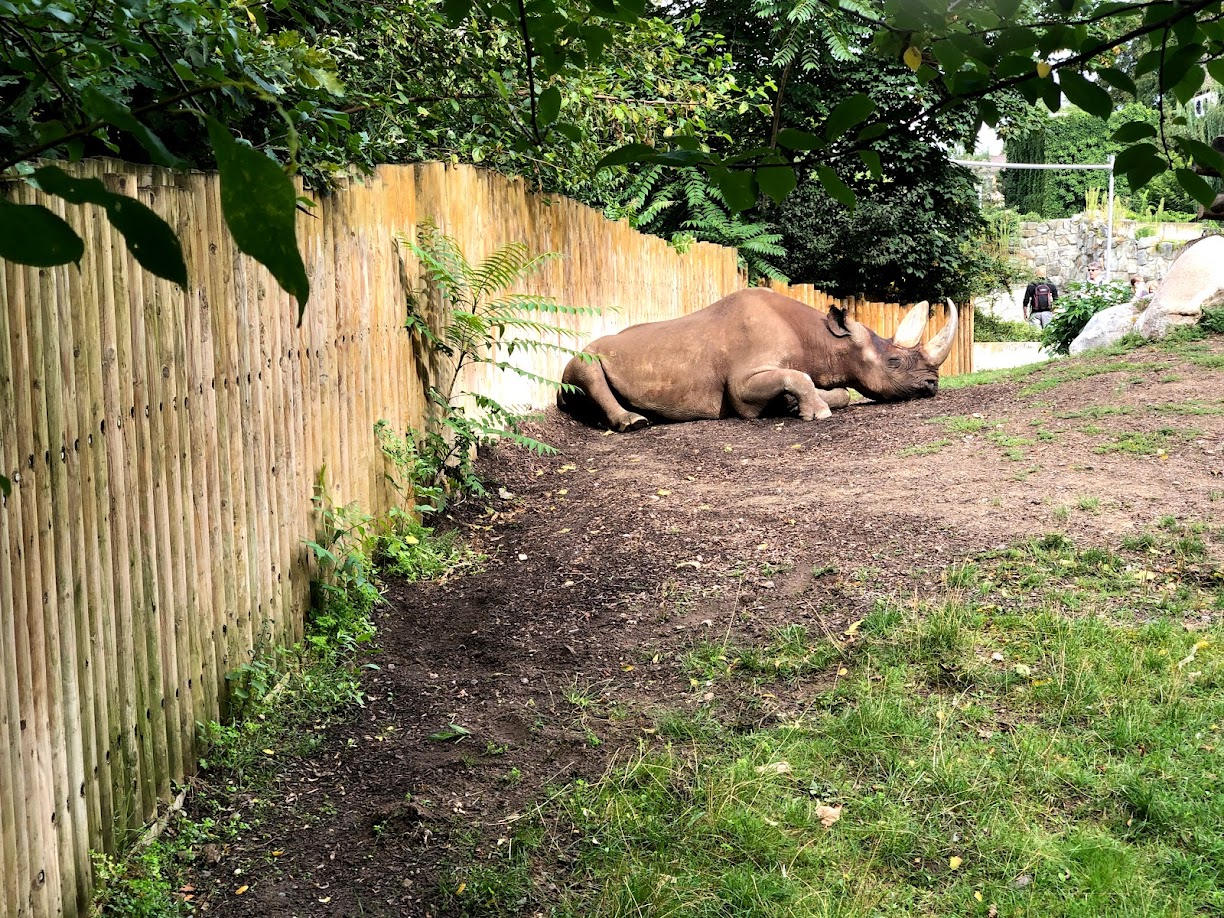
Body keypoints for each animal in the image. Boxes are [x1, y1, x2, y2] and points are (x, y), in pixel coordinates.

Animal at [558, 288, 958, 431]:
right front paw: (815, 413)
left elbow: (838, 390)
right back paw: (635, 423)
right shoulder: (741, 384)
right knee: (586, 368)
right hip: (582, 354)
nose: (932, 385)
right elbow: (797, 378)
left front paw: (794, 406)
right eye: (894, 362)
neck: (824, 340)